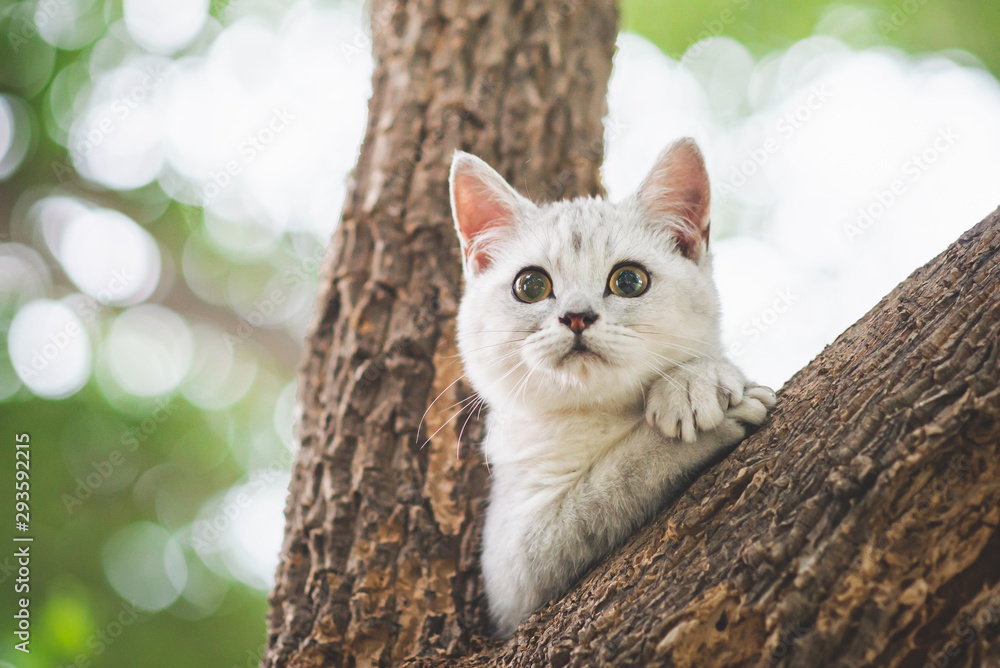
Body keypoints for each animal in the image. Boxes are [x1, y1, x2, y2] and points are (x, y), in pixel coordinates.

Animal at [450, 138, 776, 636]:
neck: (598, 417)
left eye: (628, 280)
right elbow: (607, 484)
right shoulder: (512, 570)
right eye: (530, 285)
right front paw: (690, 431)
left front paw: (696, 380)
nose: (577, 316)